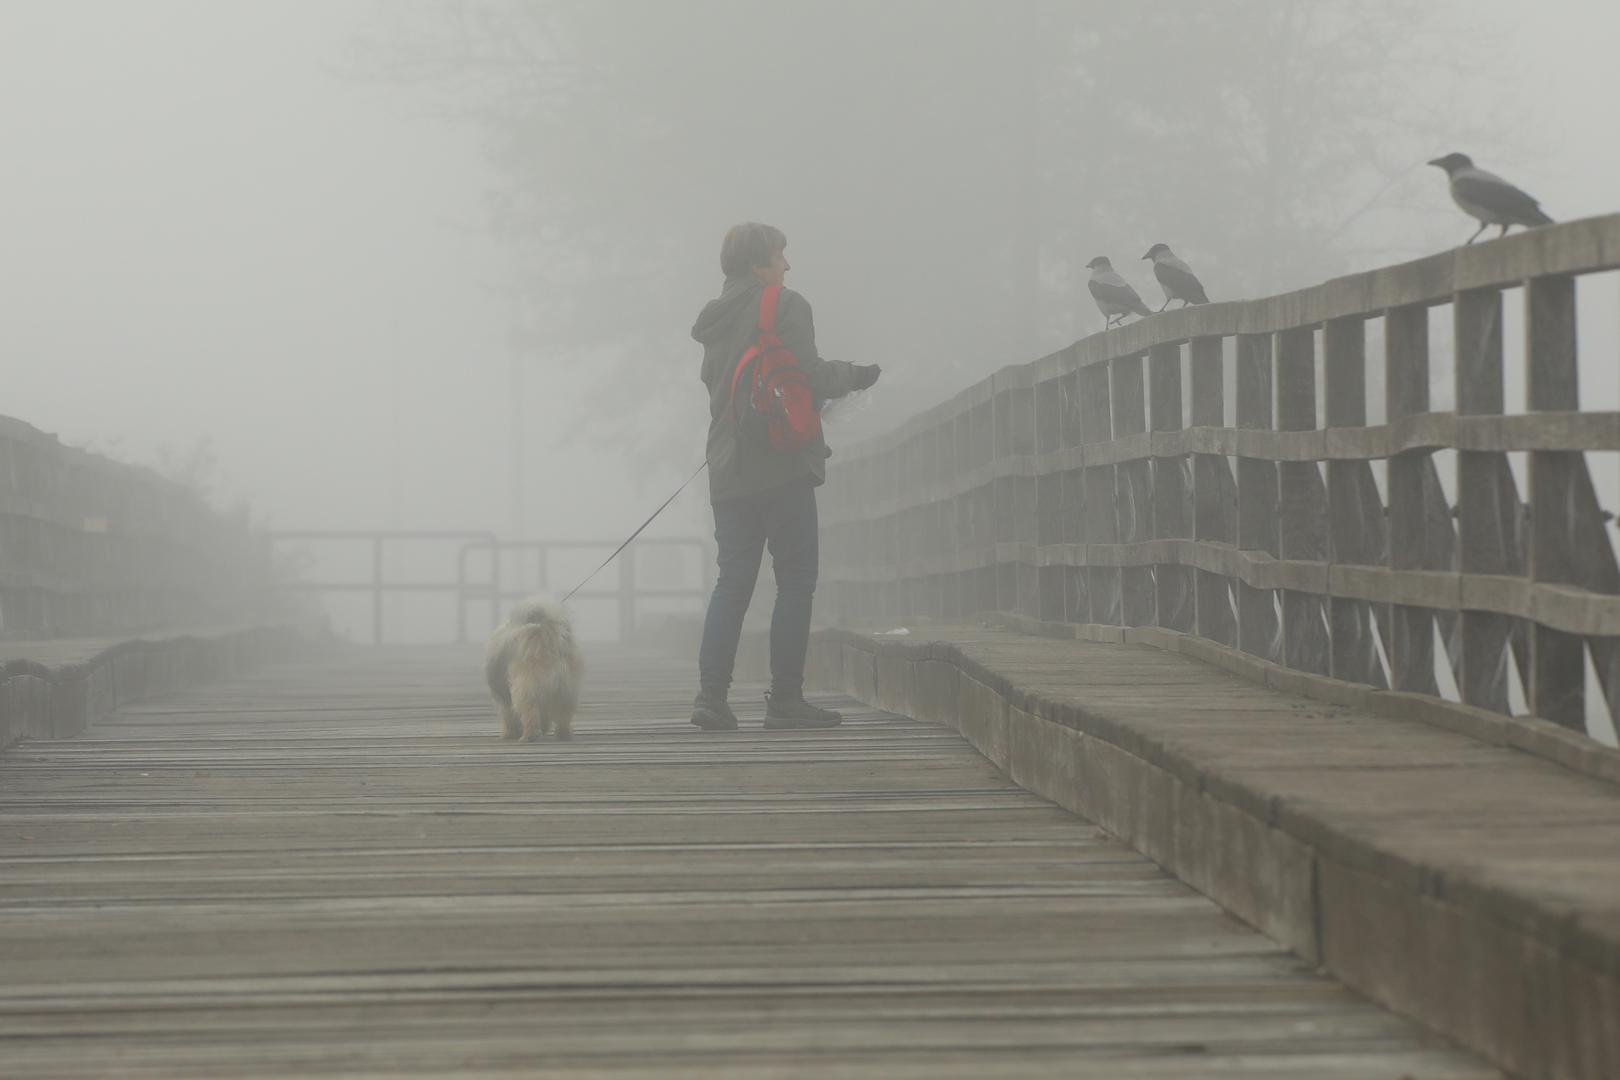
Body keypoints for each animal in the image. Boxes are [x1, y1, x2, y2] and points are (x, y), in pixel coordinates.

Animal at [482, 599, 586, 744]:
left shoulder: (504, 699)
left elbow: (509, 716)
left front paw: (509, 733)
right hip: (567, 689)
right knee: (563, 715)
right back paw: (564, 734)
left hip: (527, 688)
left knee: (529, 712)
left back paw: (529, 736)